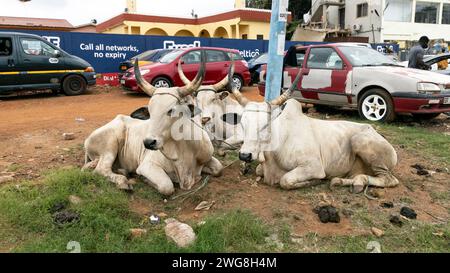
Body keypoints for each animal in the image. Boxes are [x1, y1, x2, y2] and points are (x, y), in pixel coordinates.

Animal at [83, 51, 223, 196]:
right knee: (101, 169)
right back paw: (123, 181)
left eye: (171, 110)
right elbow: (167, 186)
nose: (148, 143)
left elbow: (219, 168)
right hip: (110, 145)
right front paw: (144, 179)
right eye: (149, 111)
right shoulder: (147, 165)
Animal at [227, 71, 400, 192]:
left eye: (265, 125)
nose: (244, 155)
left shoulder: (313, 166)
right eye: (242, 123)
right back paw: (342, 181)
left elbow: (285, 180)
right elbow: (258, 170)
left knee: (390, 180)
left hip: (361, 142)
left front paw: (315, 181)